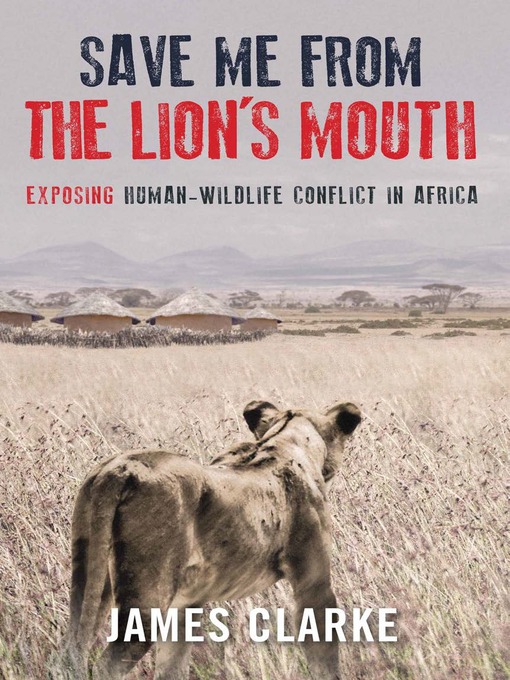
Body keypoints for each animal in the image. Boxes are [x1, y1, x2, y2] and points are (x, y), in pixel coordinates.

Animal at [66, 399, 361, 679]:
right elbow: (324, 654)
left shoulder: (186, 604)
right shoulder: (312, 584)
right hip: (146, 599)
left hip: (90, 582)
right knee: (107, 665)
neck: (285, 440)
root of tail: (119, 469)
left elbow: (172, 666)